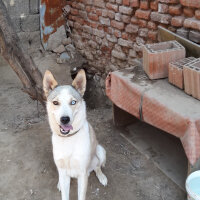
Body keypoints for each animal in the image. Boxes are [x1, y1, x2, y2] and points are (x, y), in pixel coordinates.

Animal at [42, 70, 107, 200]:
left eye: (73, 102)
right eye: (55, 102)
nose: (65, 119)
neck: (69, 139)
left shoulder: (82, 174)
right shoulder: (62, 169)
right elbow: (64, 194)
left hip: (100, 151)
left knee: (97, 166)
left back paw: (102, 177)